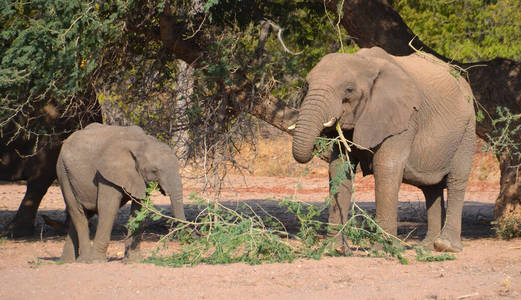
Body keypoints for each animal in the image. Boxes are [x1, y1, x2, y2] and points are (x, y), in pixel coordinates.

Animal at [54, 122, 184, 262]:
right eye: (154, 170)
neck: (140, 142)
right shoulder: (106, 174)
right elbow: (108, 207)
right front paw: (98, 261)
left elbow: (139, 209)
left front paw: (133, 261)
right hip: (63, 173)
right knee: (77, 212)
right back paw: (85, 260)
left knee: (83, 214)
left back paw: (67, 261)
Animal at [292, 47, 476, 253]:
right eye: (306, 86)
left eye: (349, 90)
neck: (365, 63)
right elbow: (339, 167)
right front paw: (334, 250)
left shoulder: (404, 118)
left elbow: (386, 167)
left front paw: (384, 249)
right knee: (431, 188)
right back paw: (427, 247)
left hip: (467, 130)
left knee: (456, 180)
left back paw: (446, 246)